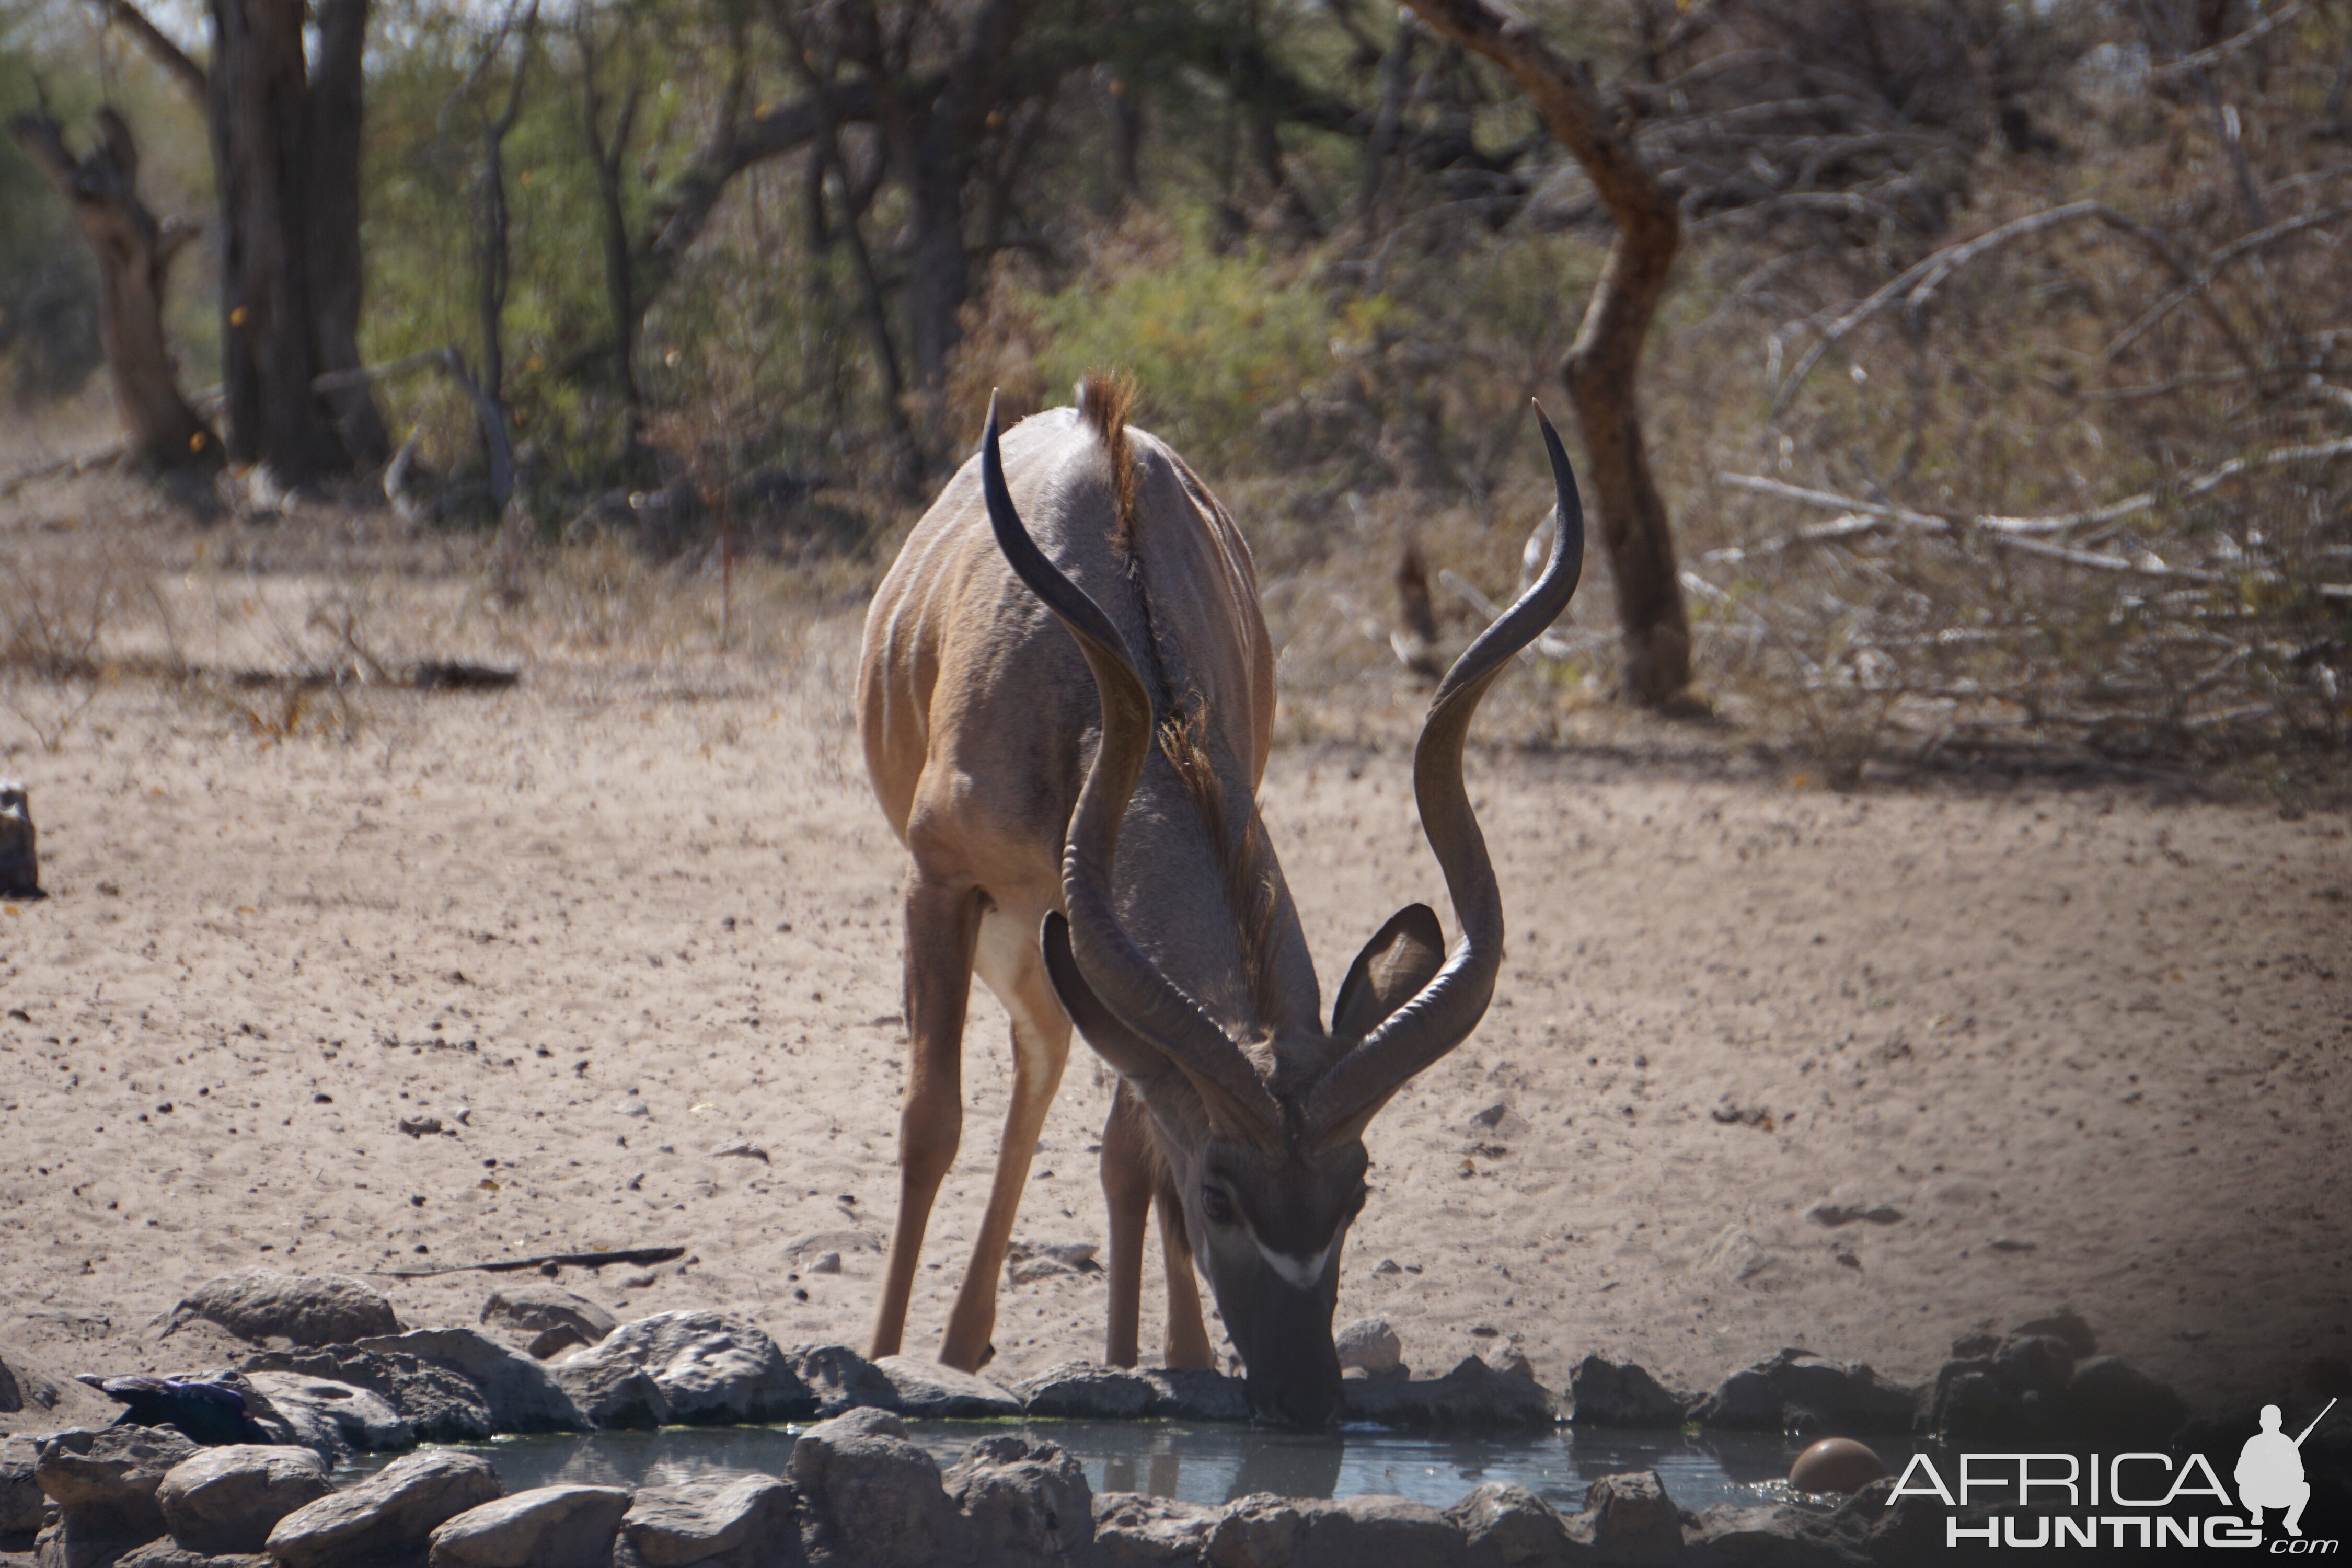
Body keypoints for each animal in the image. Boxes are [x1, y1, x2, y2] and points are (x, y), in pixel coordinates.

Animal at [856, 376, 1590, 1420]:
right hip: (1001, 927)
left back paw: (995, 1348)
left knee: (1053, 1074)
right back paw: (951, 1352)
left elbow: (1133, 1151)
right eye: (1221, 1196)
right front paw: (880, 1362)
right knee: (1015, 1080)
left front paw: (1155, 1364)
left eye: (1356, 1193)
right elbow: (930, 1124)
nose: (1305, 1393)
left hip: (1039, 948)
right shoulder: (940, 878)